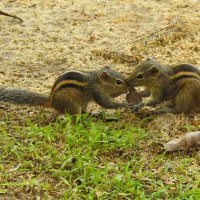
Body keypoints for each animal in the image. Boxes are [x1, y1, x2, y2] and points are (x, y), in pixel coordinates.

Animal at [0, 66, 132, 115]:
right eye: (118, 82)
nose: (129, 87)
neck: (96, 80)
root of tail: (51, 101)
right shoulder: (96, 91)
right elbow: (107, 103)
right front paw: (125, 104)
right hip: (72, 104)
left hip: (83, 103)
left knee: (84, 112)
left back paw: (94, 113)